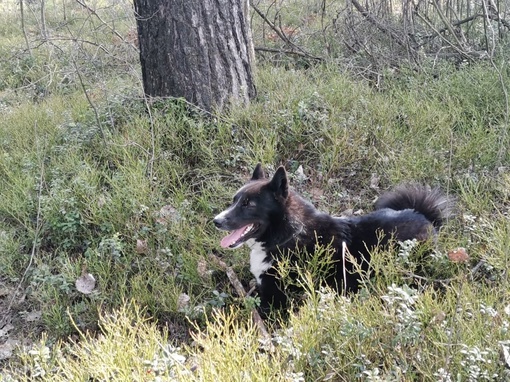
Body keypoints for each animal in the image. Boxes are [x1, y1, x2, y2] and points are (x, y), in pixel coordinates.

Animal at [213, 164, 452, 316]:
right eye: (234, 201)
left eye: (248, 204)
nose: (216, 221)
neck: (287, 235)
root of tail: (422, 215)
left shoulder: (275, 299)